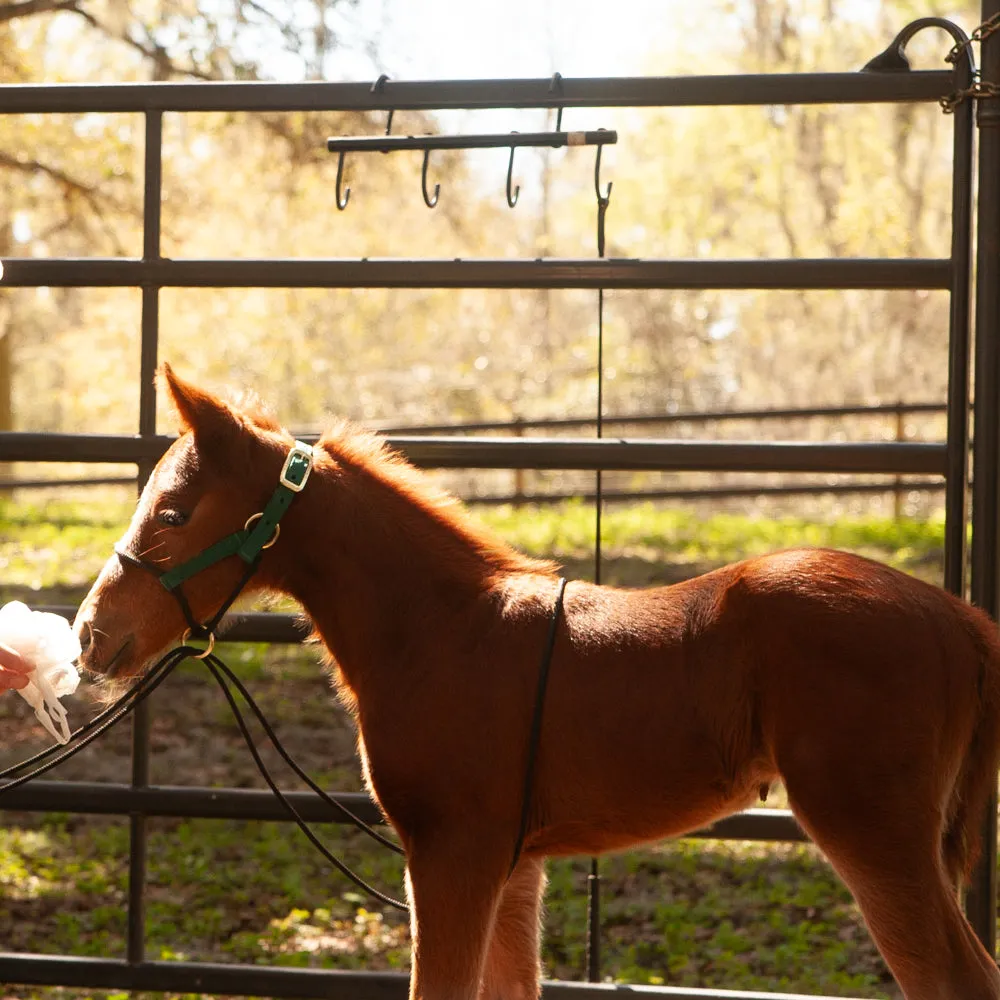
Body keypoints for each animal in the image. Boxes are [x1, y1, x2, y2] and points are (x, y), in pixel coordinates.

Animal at [76, 366, 1000, 1000]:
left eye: (172, 513)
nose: (91, 635)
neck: (443, 629)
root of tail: (961, 620)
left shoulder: (453, 851)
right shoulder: (514, 864)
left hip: (873, 832)